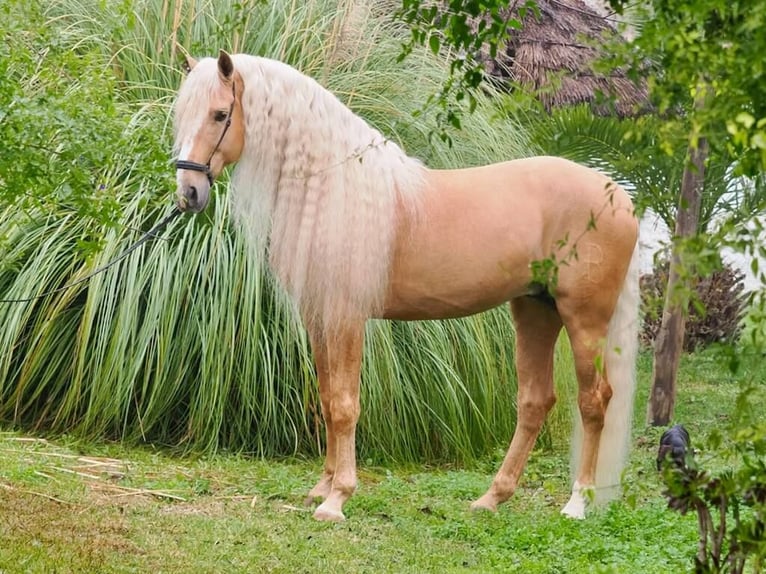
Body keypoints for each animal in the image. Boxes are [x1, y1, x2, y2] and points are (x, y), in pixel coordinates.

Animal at [176, 51, 640, 524]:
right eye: (181, 113)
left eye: (220, 114)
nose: (188, 193)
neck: (336, 188)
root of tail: (619, 196)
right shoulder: (319, 316)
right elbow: (327, 400)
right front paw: (321, 487)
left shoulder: (345, 316)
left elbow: (345, 404)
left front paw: (337, 498)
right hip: (535, 311)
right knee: (534, 401)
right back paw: (492, 498)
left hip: (584, 321)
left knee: (594, 401)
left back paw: (578, 502)